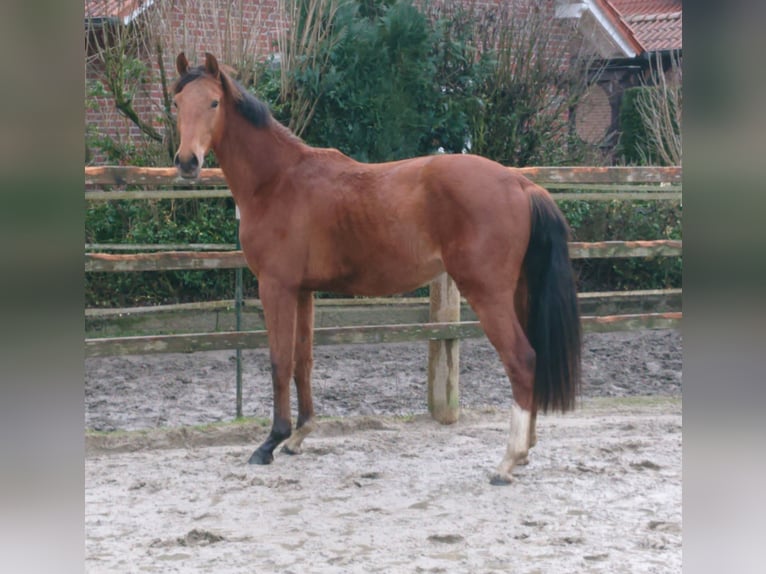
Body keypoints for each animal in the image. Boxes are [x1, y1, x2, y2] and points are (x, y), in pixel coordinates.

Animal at [174, 53, 584, 486]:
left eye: (214, 102)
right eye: (177, 103)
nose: (187, 163)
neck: (278, 180)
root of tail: (522, 185)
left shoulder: (276, 288)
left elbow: (279, 361)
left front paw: (271, 442)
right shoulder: (303, 291)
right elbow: (303, 360)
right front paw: (299, 435)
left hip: (488, 295)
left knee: (522, 360)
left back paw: (507, 460)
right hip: (519, 293)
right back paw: (524, 453)